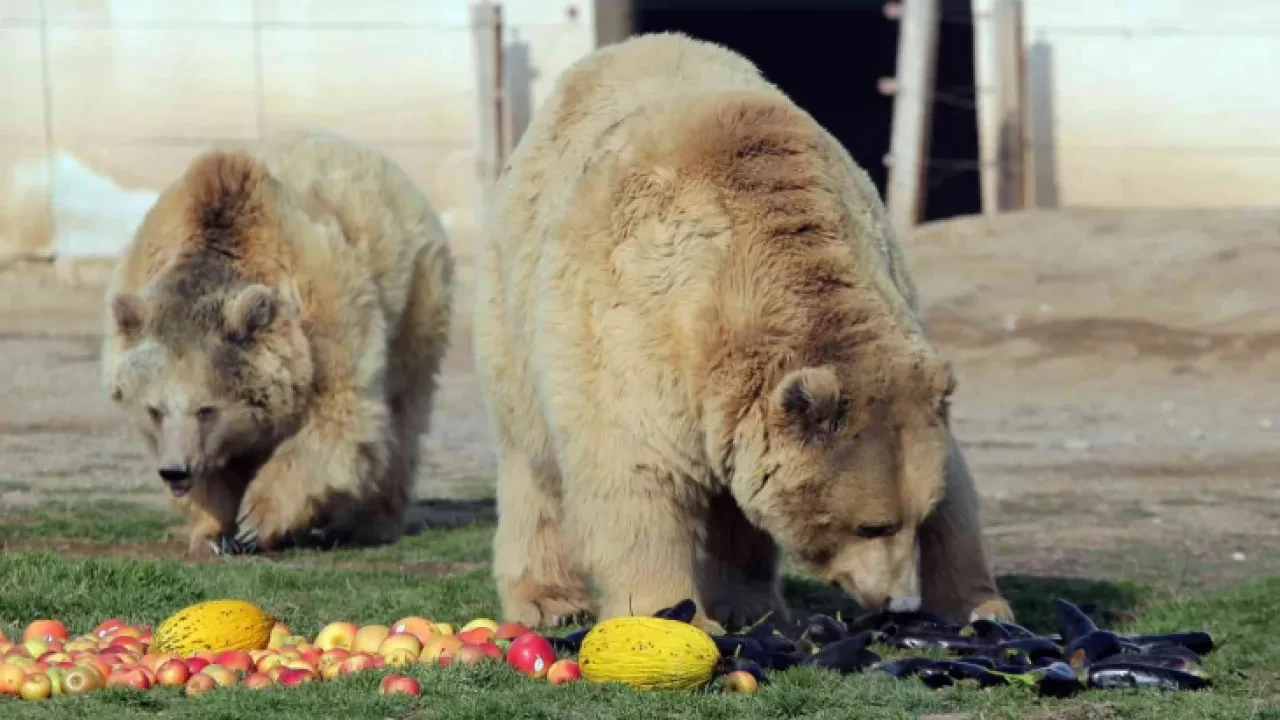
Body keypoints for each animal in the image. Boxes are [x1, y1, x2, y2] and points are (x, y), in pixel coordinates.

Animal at [99, 130, 453, 556]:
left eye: (206, 409)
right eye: (154, 409)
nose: (175, 472)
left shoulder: (322, 322)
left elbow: (337, 417)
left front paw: (255, 519)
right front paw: (214, 532)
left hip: (416, 297)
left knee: (402, 415)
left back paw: (369, 523)